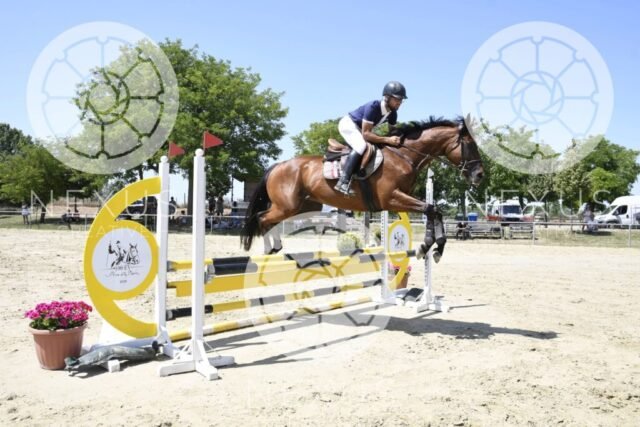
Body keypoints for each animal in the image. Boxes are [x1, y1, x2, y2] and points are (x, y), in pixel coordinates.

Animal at [241, 116, 484, 258]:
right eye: (470, 145)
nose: (480, 175)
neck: (404, 156)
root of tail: (278, 165)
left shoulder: (403, 199)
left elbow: (435, 210)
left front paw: (436, 246)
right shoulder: (392, 198)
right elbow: (432, 209)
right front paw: (427, 246)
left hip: (301, 206)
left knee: (268, 219)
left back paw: (274, 248)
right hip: (287, 205)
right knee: (262, 218)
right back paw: (270, 249)